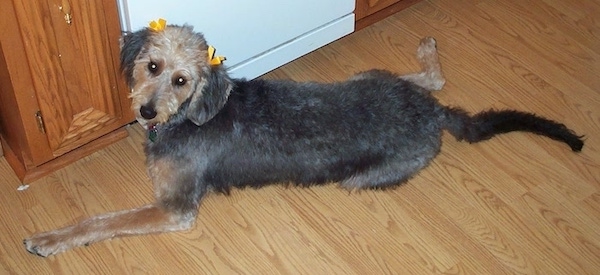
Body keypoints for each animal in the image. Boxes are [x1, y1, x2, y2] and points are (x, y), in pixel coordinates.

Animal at [22, 24, 580, 258]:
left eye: (181, 80)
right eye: (152, 67)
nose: (144, 112)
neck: (191, 117)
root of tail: (433, 116)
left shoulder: (174, 208)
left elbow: (102, 221)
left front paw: (48, 240)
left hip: (366, 174)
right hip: (373, 77)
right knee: (432, 78)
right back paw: (427, 50)